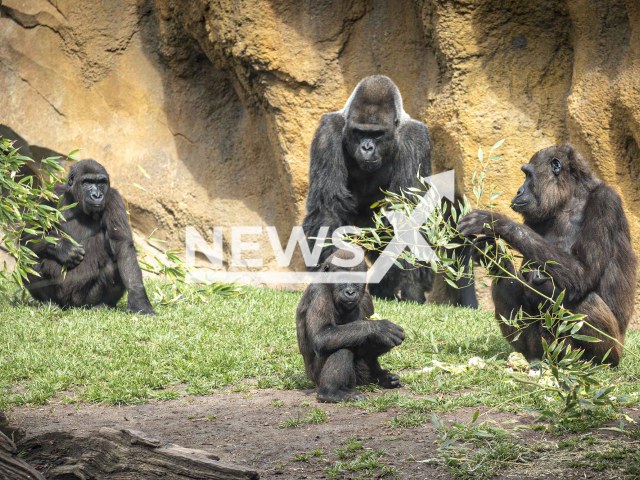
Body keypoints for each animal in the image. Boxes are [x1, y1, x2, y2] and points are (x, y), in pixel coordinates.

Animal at [21, 158, 156, 316]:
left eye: (101, 182)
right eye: (87, 182)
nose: (97, 195)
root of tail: (71, 306)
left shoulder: (113, 198)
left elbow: (122, 245)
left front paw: (138, 299)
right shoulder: (49, 197)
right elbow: (29, 234)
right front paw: (63, 248)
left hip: (84, 299)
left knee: (113, 263)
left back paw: (102, 304)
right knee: (29, 257)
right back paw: (49, 302)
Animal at [296, 249, 404, 404]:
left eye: (356, 280)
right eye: (342, 278)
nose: (350, 292)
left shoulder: (366, 298)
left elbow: (367, 347)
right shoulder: (319, 291)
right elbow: (321, 336)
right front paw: (379, 328)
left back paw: (379, 378)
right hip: (316, 378)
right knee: (341, 349)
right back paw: (330, 392)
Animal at [302, 76, 478, 308]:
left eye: (377, 135)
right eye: (359, 133)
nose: (367, 148)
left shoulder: (415, 140)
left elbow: (408, 215)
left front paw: (411, 287)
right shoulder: (327, 132)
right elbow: (328, 207)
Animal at [460, 144, 636, 366]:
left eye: (528, 175)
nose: (519, 190)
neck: (570, 198)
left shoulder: (605, 201)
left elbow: (582, 273)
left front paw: (495, 222)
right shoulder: (535, 218)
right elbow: (521, 275)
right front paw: (492, 253)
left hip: (612, 350)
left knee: (573, 296)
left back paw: (591, 361)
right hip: (545, 348)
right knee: (505, 284)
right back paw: (533, 357)